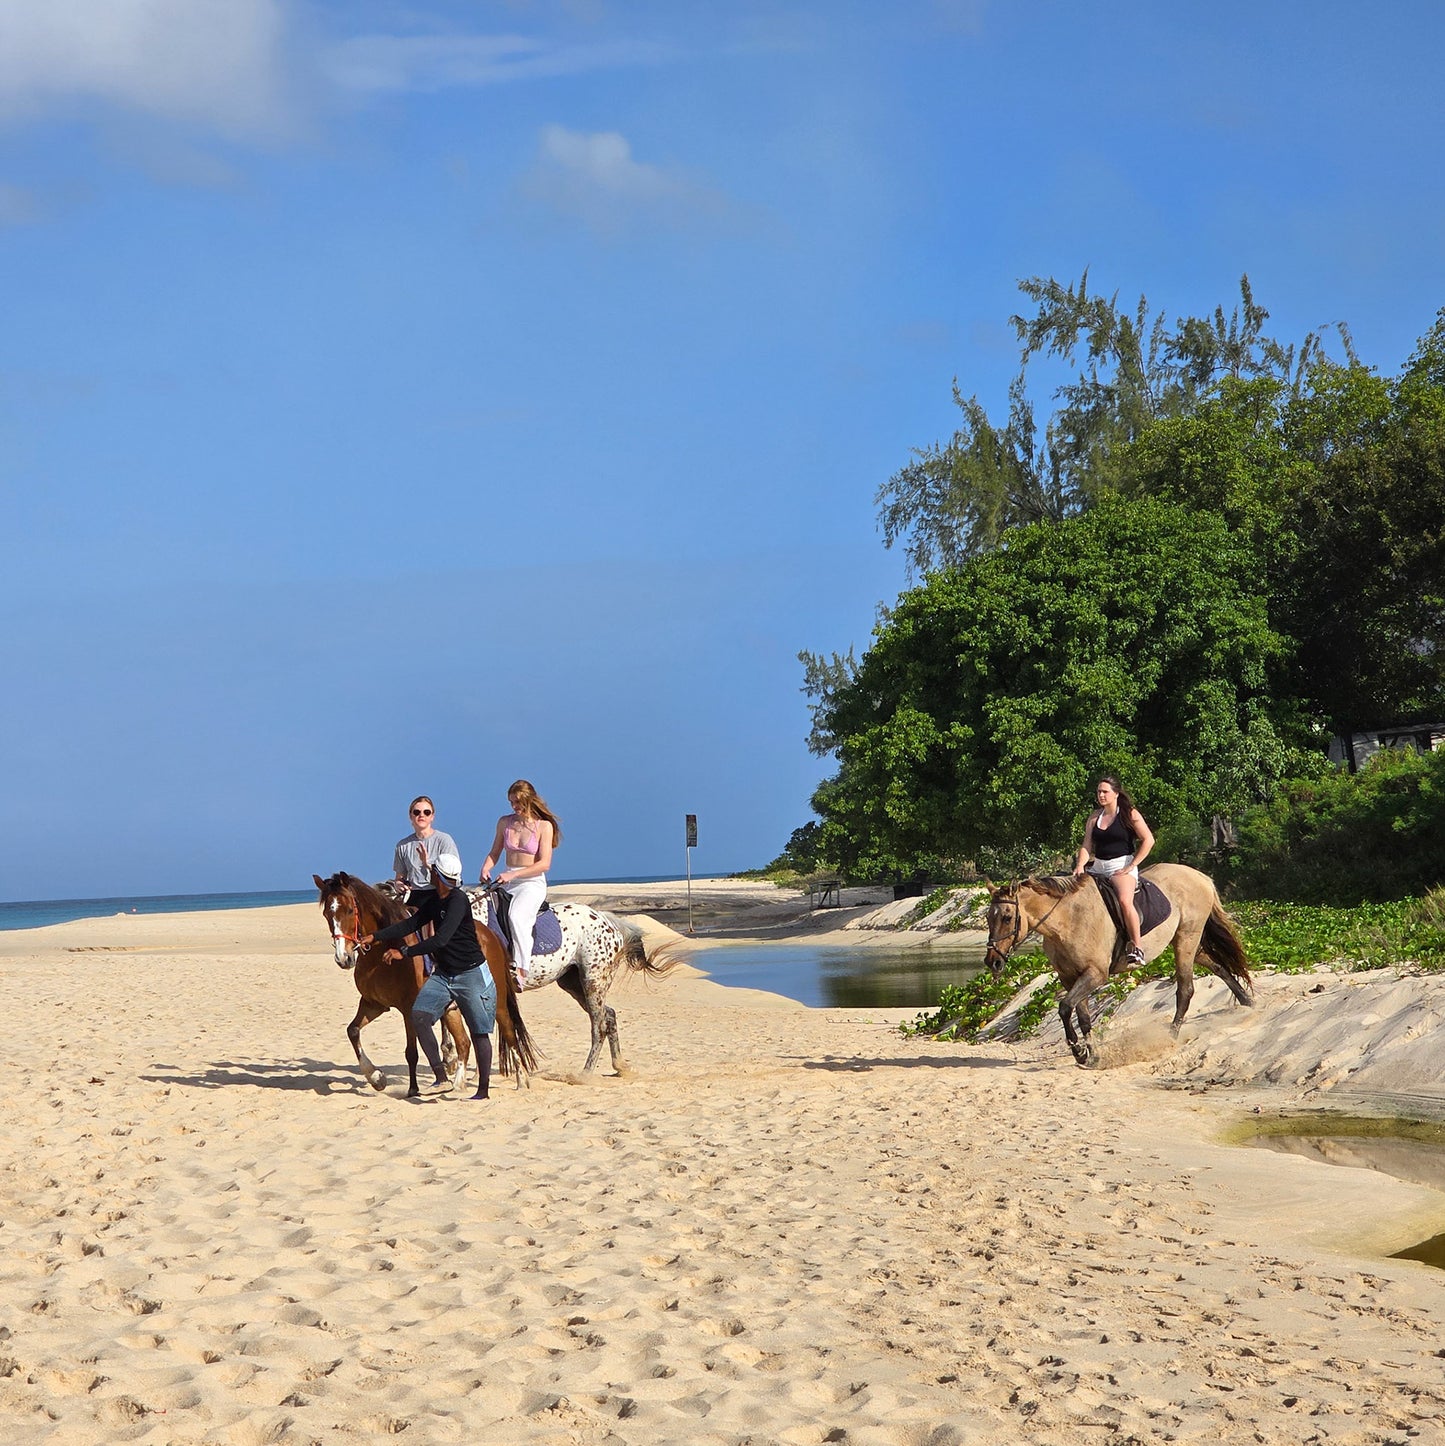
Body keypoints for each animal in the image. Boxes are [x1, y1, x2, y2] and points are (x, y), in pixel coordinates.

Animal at [467, 883, 675, 1075]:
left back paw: (585, 1074)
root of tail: (608, 922)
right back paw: (619, 1065)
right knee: (609, 1016)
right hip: (575, 985)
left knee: (599, 1026)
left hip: (593, 983)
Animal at [983, 863, 1253, 1067]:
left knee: (1185, 990)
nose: (992, 962)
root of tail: (1200, 876)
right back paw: (1246, 1001)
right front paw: (1092, 1056)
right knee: (1218, 967)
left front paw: (1079, 1052)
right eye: (988, 917)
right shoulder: (1070, 977)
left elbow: (1064, 1008)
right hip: (1186, 943)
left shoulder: (1095, 974)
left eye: (1007, 917)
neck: (1068, 920)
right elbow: (1082, 1017)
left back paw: (1170, 1037)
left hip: (1186, 940)